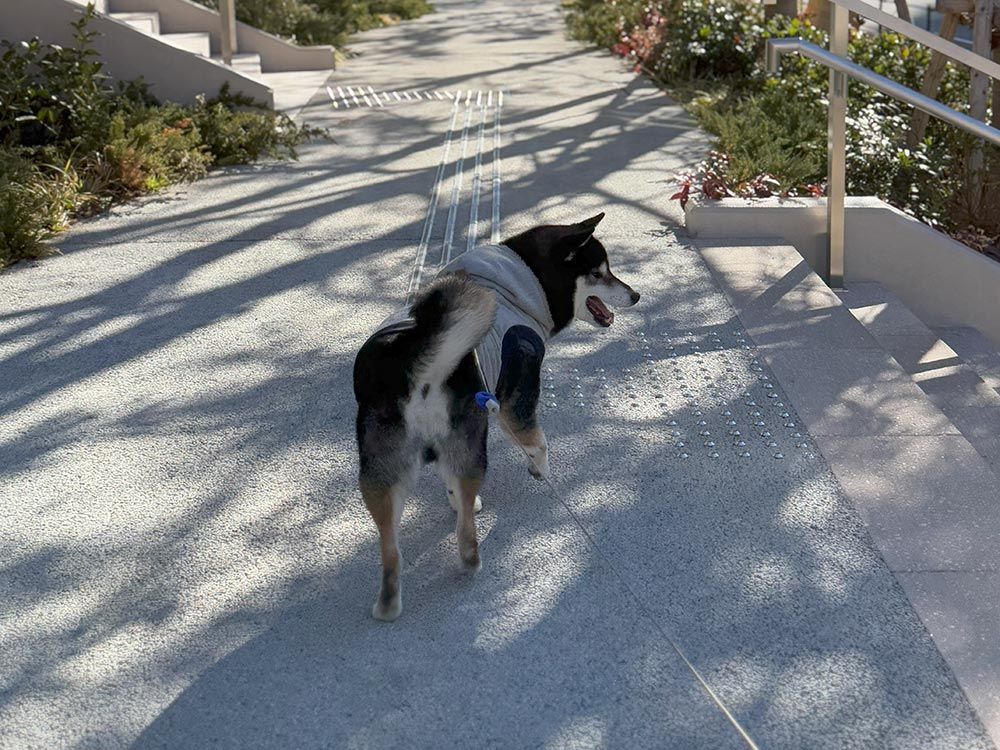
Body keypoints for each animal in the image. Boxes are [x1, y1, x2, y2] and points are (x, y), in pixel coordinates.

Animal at [353, 213, 640, 621]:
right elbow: (537, 441)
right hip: (472, 443)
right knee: (464, 533)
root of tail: (413, 362)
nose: (636, 295)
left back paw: (389, 603)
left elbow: (452, 483)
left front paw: (461, 502)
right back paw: (470, 561)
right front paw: (540, 471)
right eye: (599, 273)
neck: (522, 284)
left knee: (390, 545)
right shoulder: (511, 398)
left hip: (382, 467)